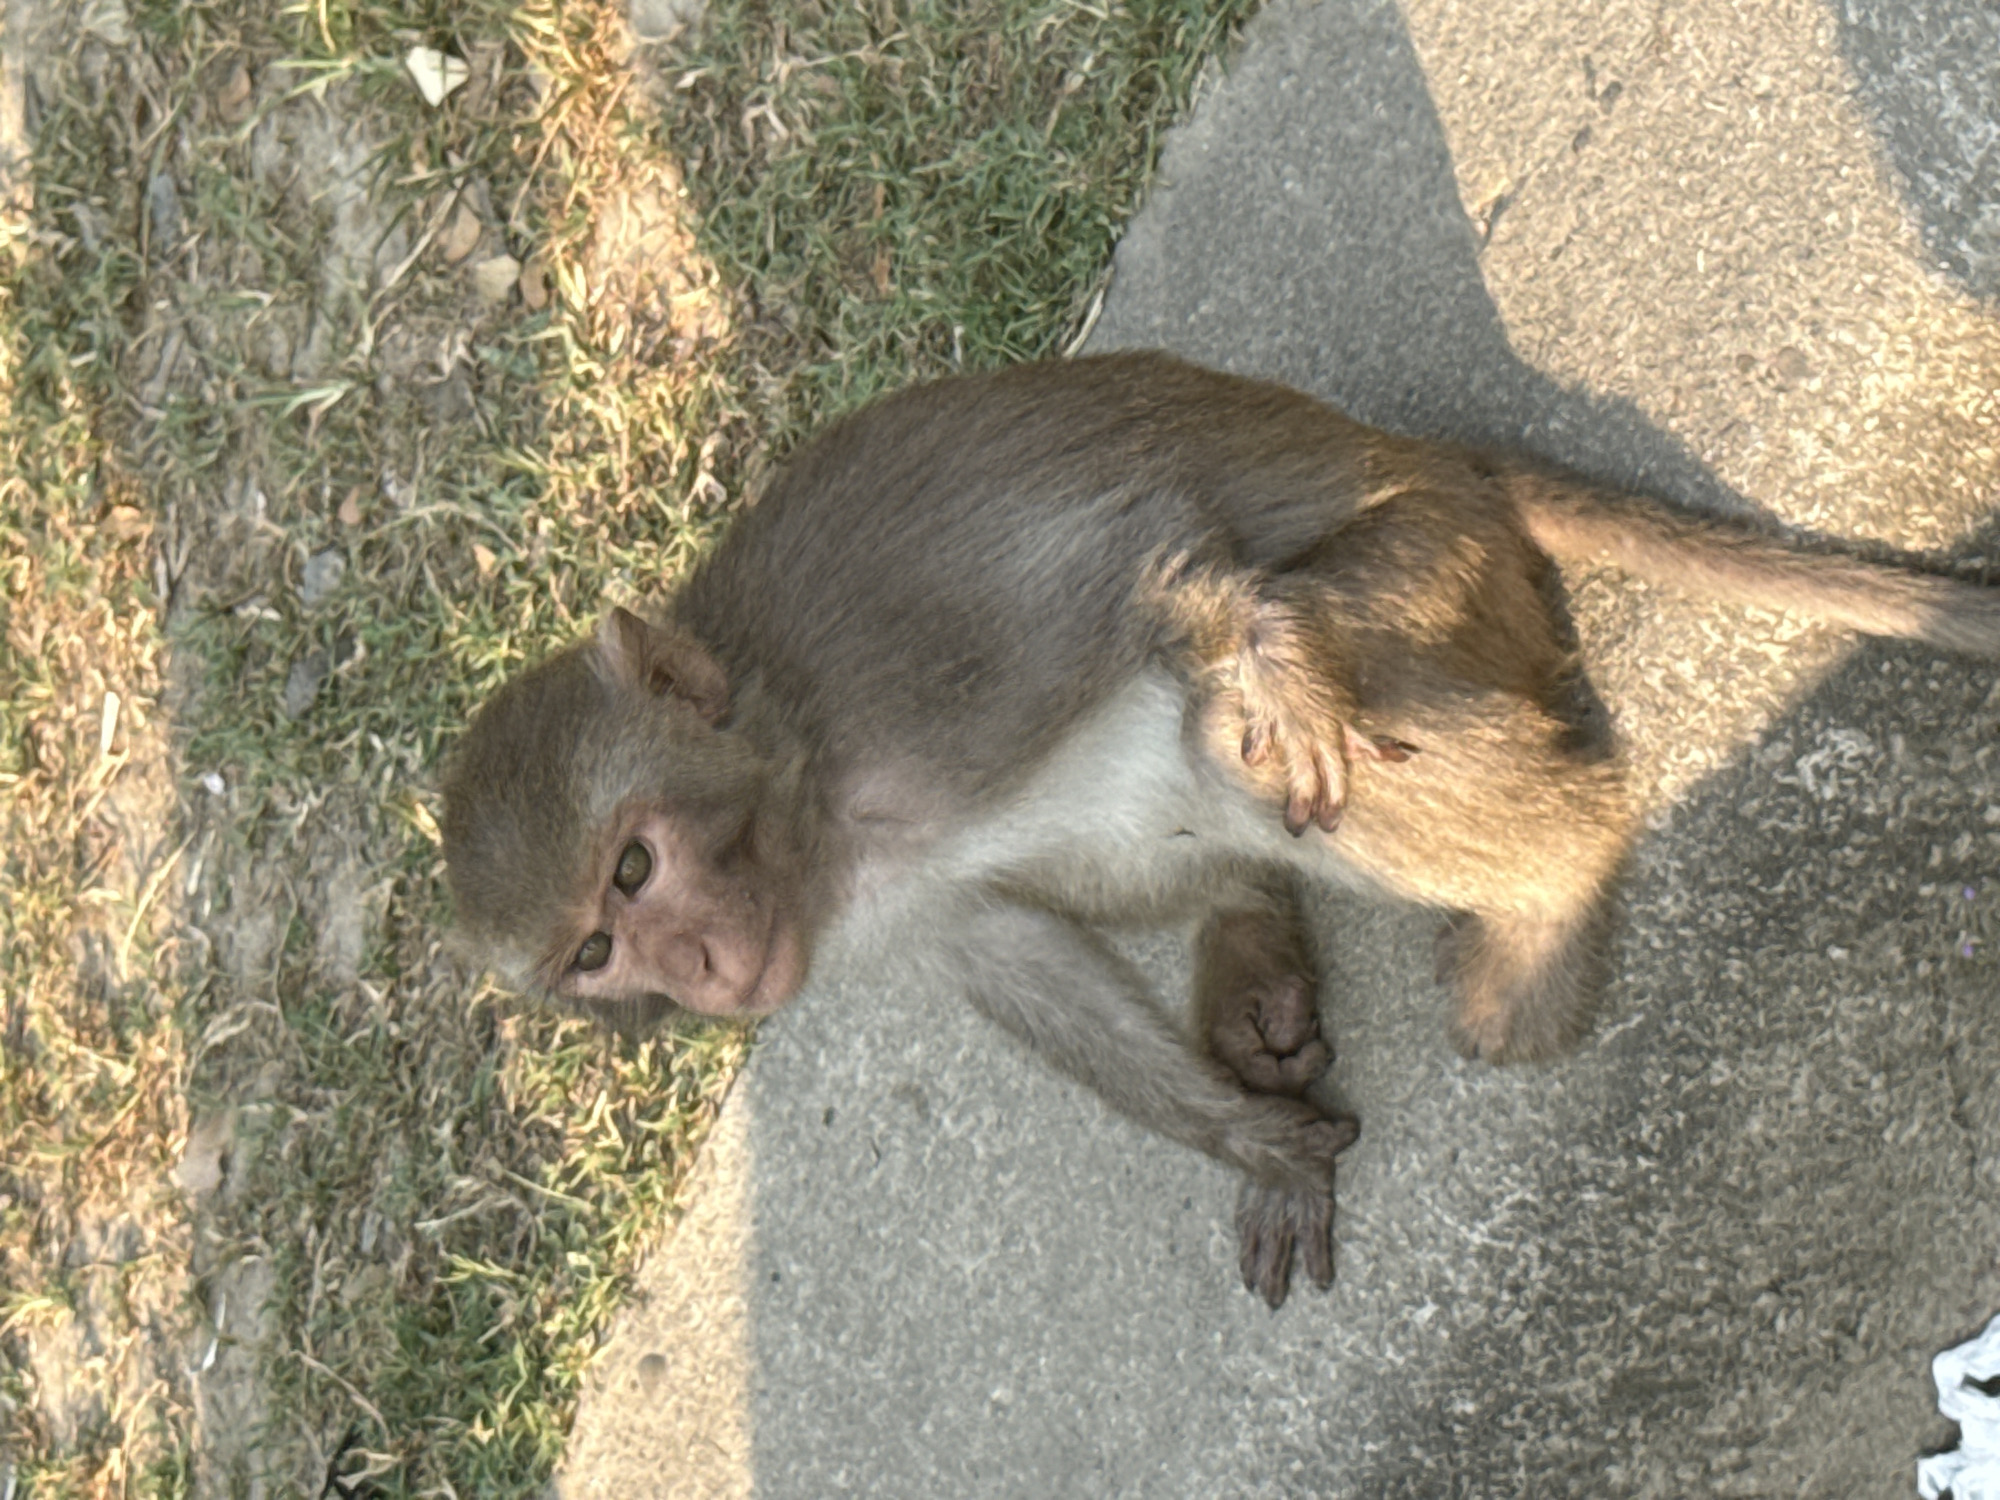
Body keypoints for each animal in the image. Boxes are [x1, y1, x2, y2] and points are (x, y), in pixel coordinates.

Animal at [440, 351, 2000, 1307]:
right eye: (592, 953)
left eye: (634, 864)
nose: (700, 974)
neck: (805, 784)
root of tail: (1439, 460)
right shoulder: (879, 904)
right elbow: (1009, 956)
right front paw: (1249, 1140)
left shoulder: (922, 675)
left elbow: (1136, 555)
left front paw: (1258, 638)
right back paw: (1249, 951)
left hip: (1435, 571)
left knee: (1232, 734)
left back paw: (1549, 881)